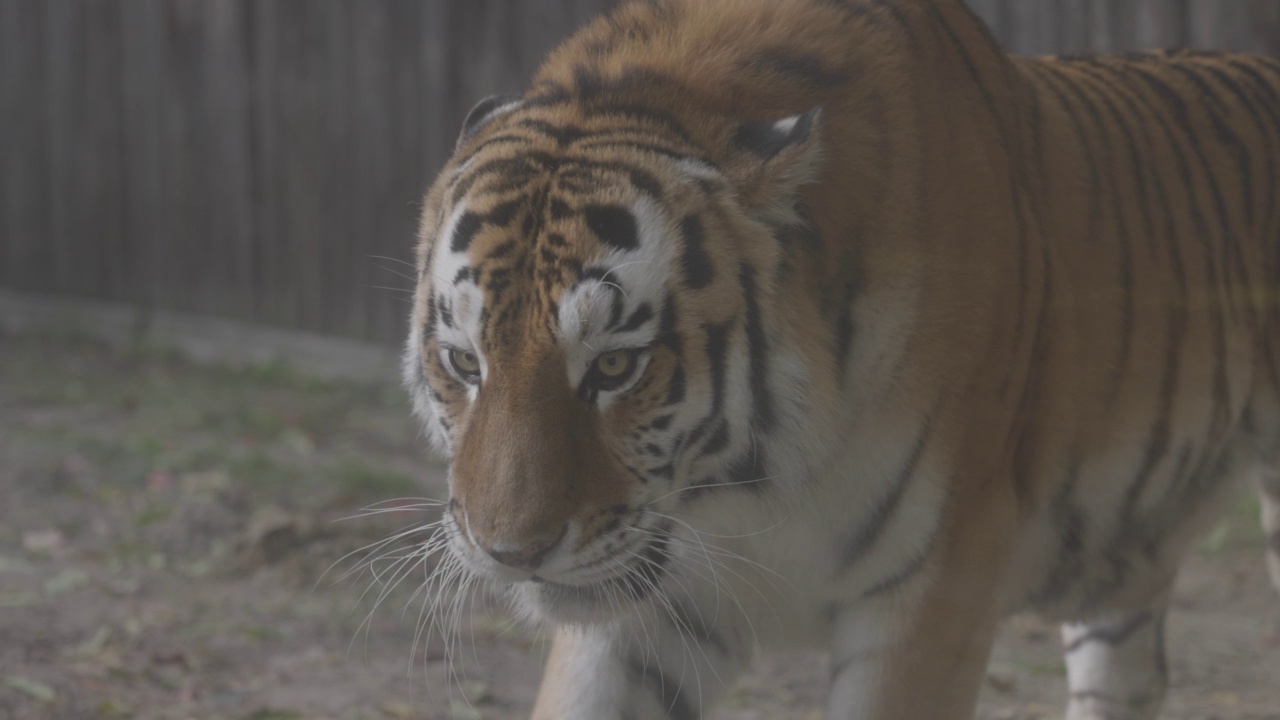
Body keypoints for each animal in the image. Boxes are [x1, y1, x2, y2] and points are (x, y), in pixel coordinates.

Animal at [399, 0, 1280, 712]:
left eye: (617, 367)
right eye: (466, 363)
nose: (512, 555)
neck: (746, 484)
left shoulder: (933, 590)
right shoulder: (651, 612)